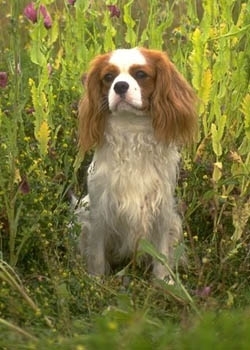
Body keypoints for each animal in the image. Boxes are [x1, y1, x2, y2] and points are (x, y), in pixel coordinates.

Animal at [75, 47, 196, 280]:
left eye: (140, 74)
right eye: (108, 77)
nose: (120, 86)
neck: (131, 128)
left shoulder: (161, 210)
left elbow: (161, 253)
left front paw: (163, 282)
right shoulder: (99, 210)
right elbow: (96, 254)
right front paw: (95, 282)